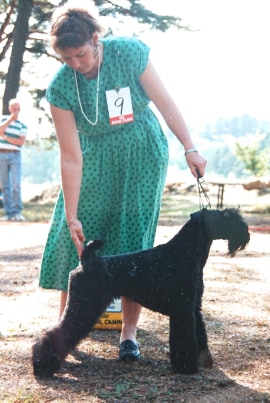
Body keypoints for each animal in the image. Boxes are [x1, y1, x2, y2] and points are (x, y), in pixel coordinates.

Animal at [32, 208, 250, 378]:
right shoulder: (183, 311)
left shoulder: (194, 308)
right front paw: (186, 367)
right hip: (84, 304)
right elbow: (185, 339)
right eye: (225, 216)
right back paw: (43, 366)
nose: (245, 232)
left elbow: (200, 334)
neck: (184, 253)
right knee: (57, 332)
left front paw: (204, 359)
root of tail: (87, 260)